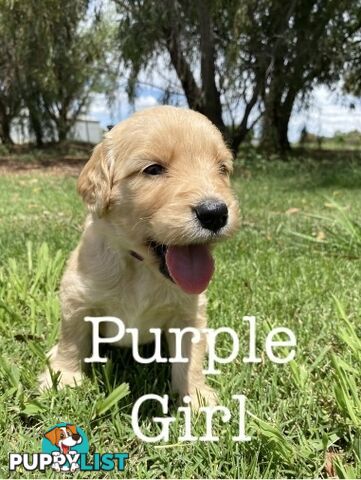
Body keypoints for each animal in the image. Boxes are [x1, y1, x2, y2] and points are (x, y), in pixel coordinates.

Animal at [38, 107, 236, 406]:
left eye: (222, 169)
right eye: (153, 169)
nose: (215, 213)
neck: (139, 266)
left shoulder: (188, 313)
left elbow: (190, 359)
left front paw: (196, 397)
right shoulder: (77, 298)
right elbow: (73, 339)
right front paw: (63, 377)